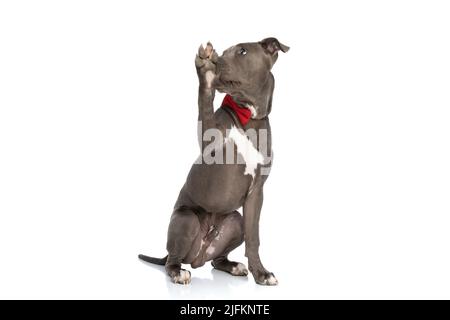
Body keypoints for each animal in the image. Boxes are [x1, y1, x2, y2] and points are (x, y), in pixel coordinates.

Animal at [139, 37, 290, 284]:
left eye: (242, 51)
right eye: (225, 51)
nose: (217, 60)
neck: (247, 116)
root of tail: (199, 253)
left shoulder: (256, 193)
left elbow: (254, 238)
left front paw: (261, 274)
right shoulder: (209, 141)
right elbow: (205, 103)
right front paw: (206, 71)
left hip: (235, 222)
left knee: (216, 260)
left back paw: (233, 266)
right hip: (187, 220)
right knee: (172, 259)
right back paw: (178, 272)